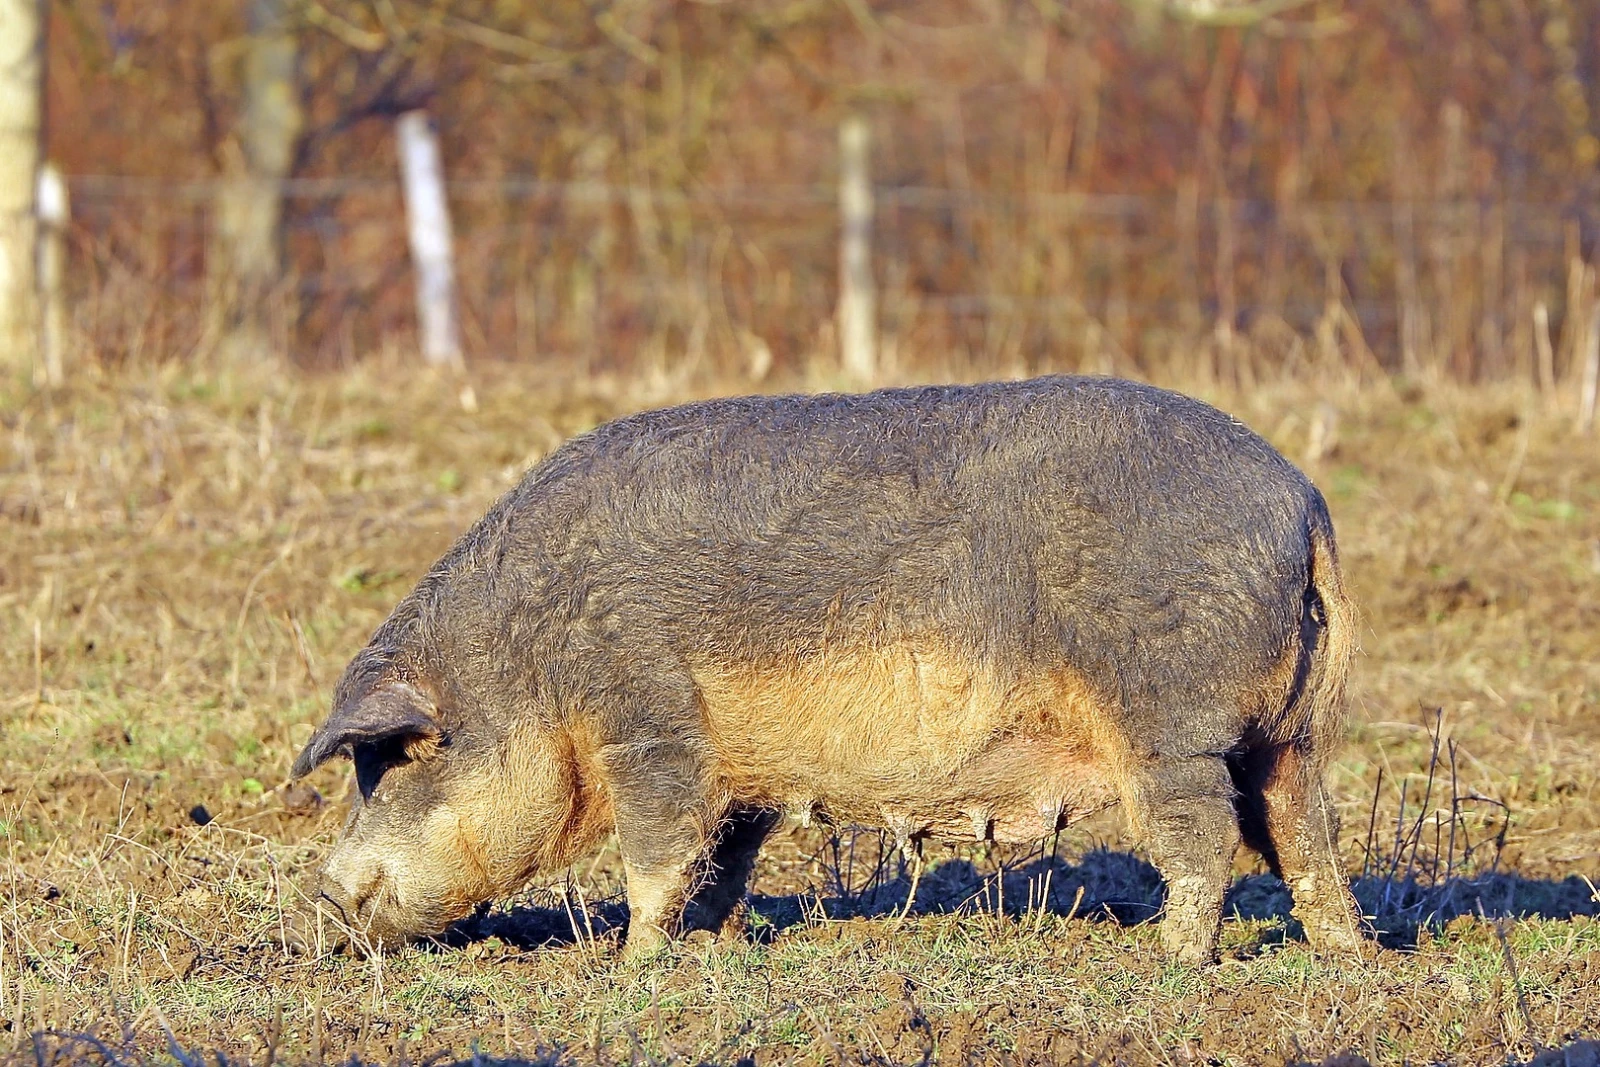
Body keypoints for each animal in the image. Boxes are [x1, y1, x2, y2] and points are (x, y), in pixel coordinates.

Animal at [288, 376, 1367, 964]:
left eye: (397, 762)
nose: (321, 900)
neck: (531, 666)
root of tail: (1302, 502)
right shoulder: (739, 769)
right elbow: (722, 855)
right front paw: (710, 941)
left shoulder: (649, 719)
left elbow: (656, 848)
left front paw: (634, 957)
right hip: (1289, 732)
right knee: (1303, 828)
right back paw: (1349, 952)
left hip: (1171, 719)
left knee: (1205, 836)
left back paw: (1169, 960)